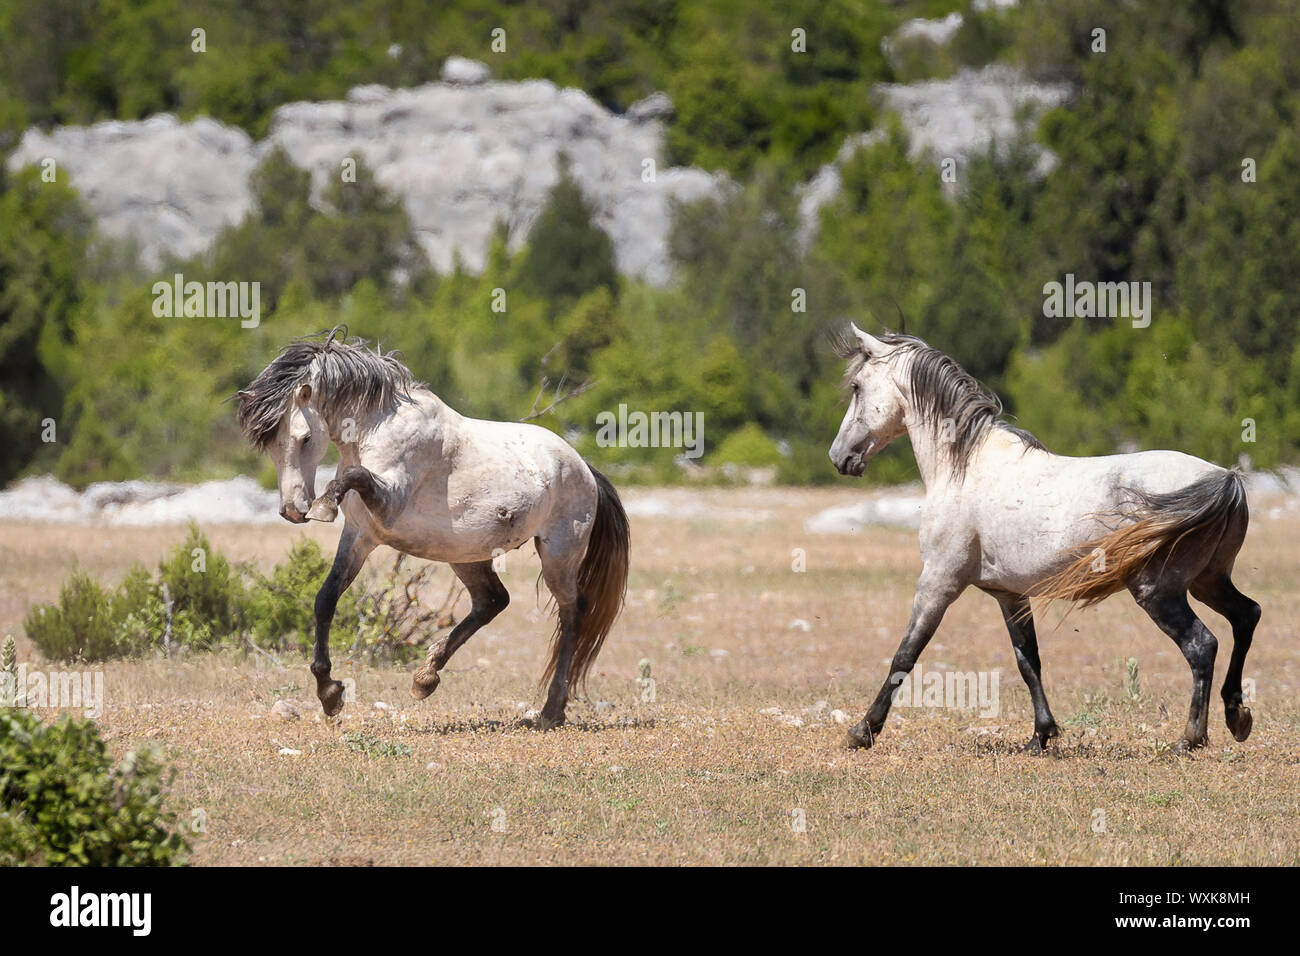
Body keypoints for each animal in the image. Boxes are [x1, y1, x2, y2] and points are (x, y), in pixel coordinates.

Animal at [237, 329, 630, 726]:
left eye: (303, 438)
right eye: (270, 445)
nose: (292, 510)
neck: (378, 429)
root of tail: (583, 467)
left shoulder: (388, 504)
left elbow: (355, 475)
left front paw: (324, 506)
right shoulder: (360, 535)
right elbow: (326, 600)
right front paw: (329, 693)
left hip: (558, 554)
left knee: (572, 614)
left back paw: (551, 710)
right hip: (467, 555)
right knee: (492, 601)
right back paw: (426, 677)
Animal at [829, 324, 1259, 752]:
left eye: (856, 386)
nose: (839, 457)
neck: (965, 468)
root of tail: (1224, 479)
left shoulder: (938, 582)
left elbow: (905, 655)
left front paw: (863, 730)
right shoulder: (1009, 595)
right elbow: (1028, 661)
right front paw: (1041, 735)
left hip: (1160, 592)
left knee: (1202, 645)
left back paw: (1191, 738)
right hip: (1207, 581)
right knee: (1246, 616)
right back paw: (1236, 715)